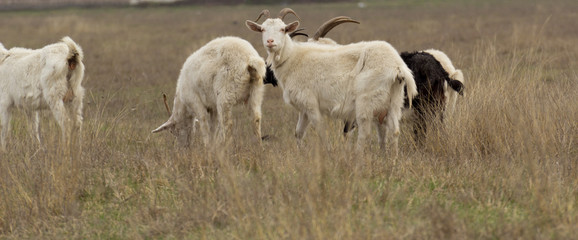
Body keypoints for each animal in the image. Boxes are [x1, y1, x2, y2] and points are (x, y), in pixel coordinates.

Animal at [245, 8, 416, 154]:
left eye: (283, 29)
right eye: (262, 29)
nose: (270, 42)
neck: (293, 58)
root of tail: (397, 66)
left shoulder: (311, 104)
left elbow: (320, 131)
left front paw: (327, 153)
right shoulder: (303, 109)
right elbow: (298, 133)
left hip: (365, 103)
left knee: (365, 134)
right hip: (393, 102)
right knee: (394, 131)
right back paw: (391, 162)